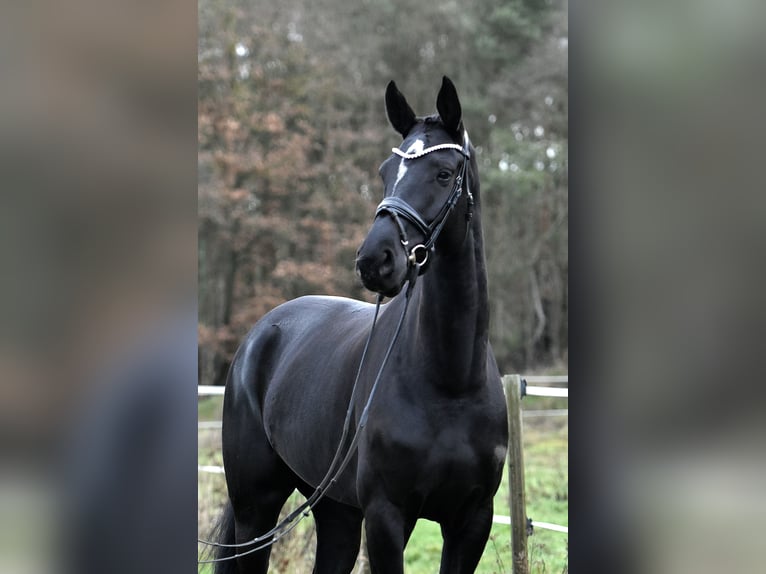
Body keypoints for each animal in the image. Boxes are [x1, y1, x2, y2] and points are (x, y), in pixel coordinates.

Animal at [213, 77, 510, 574]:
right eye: (385, 171)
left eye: (443, 173)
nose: (376, 260)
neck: (450, 381)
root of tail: (261, 333)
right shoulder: (387, 516)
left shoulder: (472, 521)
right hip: (257, 506)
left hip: (335, 509)